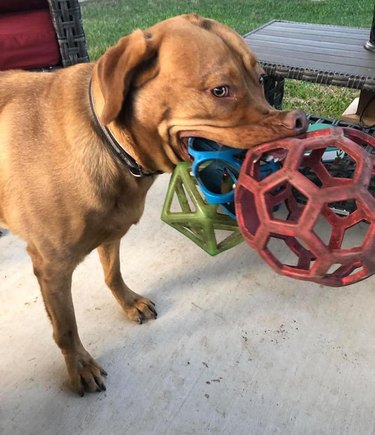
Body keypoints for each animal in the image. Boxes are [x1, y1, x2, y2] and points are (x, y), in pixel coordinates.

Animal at [0, 14, 306, 396]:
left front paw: (128, 302)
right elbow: (66, 327)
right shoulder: (51, 268)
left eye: (262, 80)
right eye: (220, 91)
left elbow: (112, 271)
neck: (111, 145)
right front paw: (79, 365)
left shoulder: (113, 230)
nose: (301, 120)